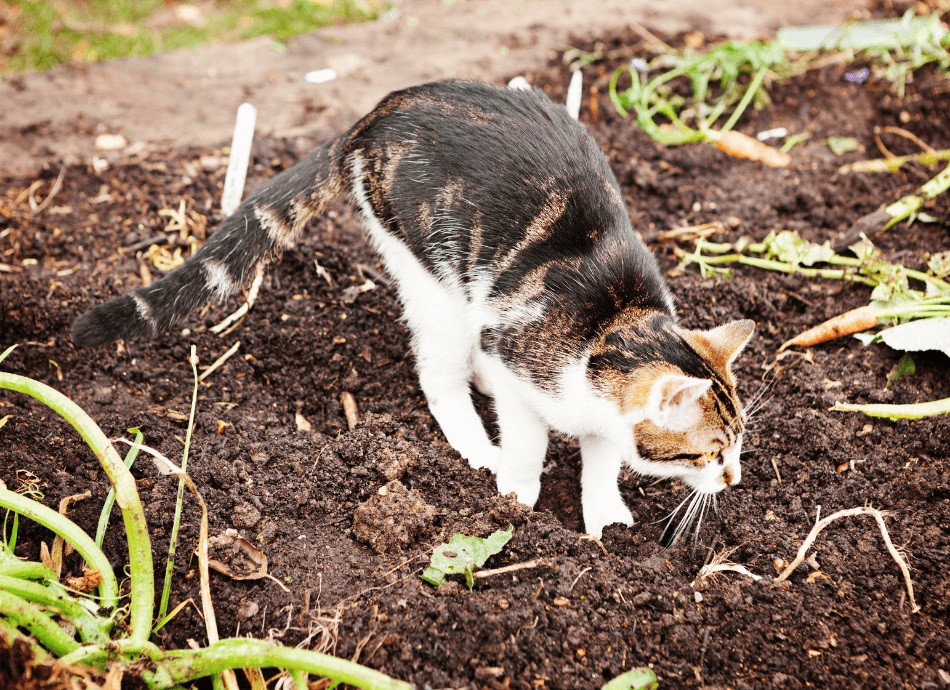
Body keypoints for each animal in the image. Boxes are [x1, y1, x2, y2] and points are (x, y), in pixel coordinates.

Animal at [74, 79, 756, 536]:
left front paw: (604, 514)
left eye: (739, 444)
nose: (735, 480)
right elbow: (528, 440)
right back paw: (475, 443)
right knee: (439, 370)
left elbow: (602, 458)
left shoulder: (594, 410)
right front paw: (517, 490)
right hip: (430, 271)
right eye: (709, 451)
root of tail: (383, 108)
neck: (612, 323)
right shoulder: (522, 366)